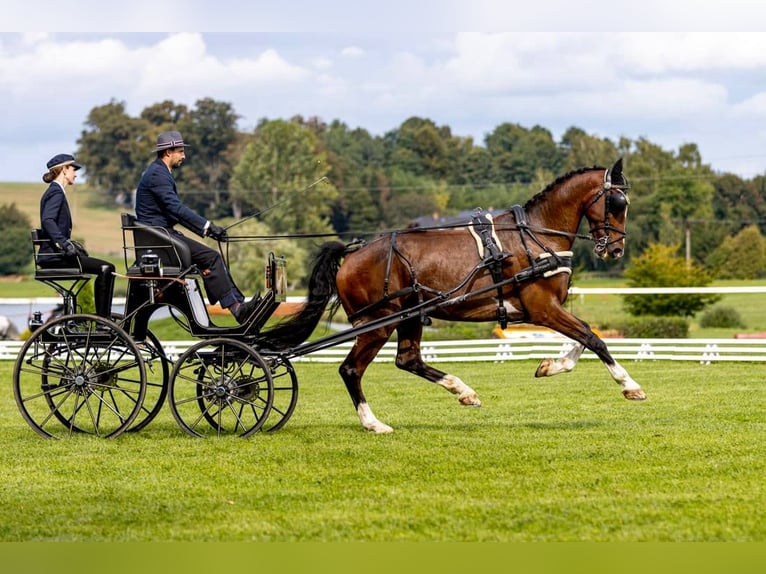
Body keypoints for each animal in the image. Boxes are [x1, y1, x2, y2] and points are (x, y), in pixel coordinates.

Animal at [260, 160, 648, 434]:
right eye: (617, 201)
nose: (615, 249)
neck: (534, 236)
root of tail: (353, 253)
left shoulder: (547, 310)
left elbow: (584, 337)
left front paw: (550, 365)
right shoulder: (543, 309)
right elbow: (593, 339)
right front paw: (630, 387)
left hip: (409, 317)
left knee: (408, 360)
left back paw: (463, 391)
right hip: (377, 324)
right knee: (351, 369)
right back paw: (374, 423)